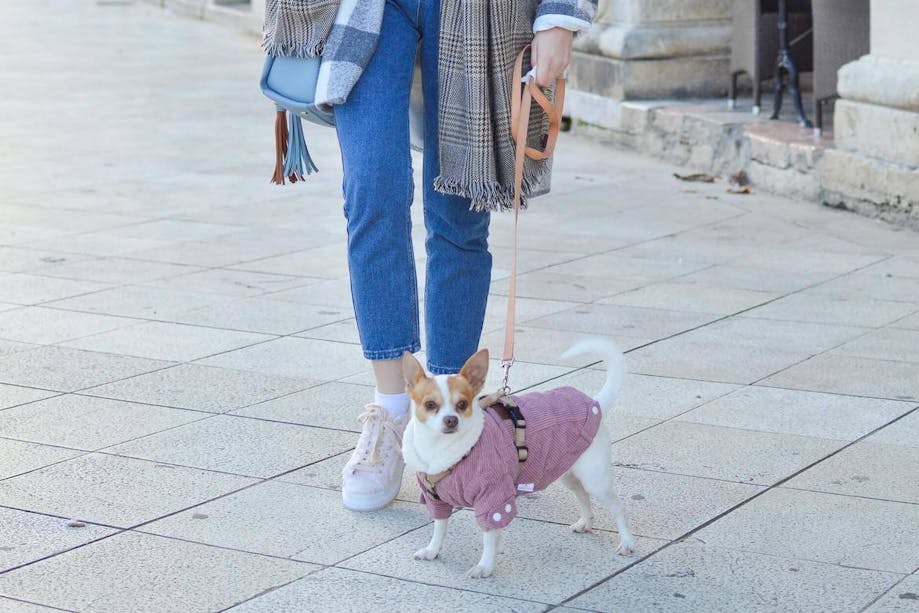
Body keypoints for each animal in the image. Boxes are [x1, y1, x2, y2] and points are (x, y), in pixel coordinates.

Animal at [398, 340, 636, 580]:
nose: (451, 420)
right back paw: (585, 522)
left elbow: (489, 536)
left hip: (595, 479)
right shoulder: (436, 500)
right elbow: (439, 528)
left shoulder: (493, 501)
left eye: (463, 404)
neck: (440, 450)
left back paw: (626, 542)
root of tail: (595, 403)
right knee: (583, 495)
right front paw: (432, 550)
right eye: (430, 405)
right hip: (569, 471)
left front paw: (485, 566)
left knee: (618, 507)